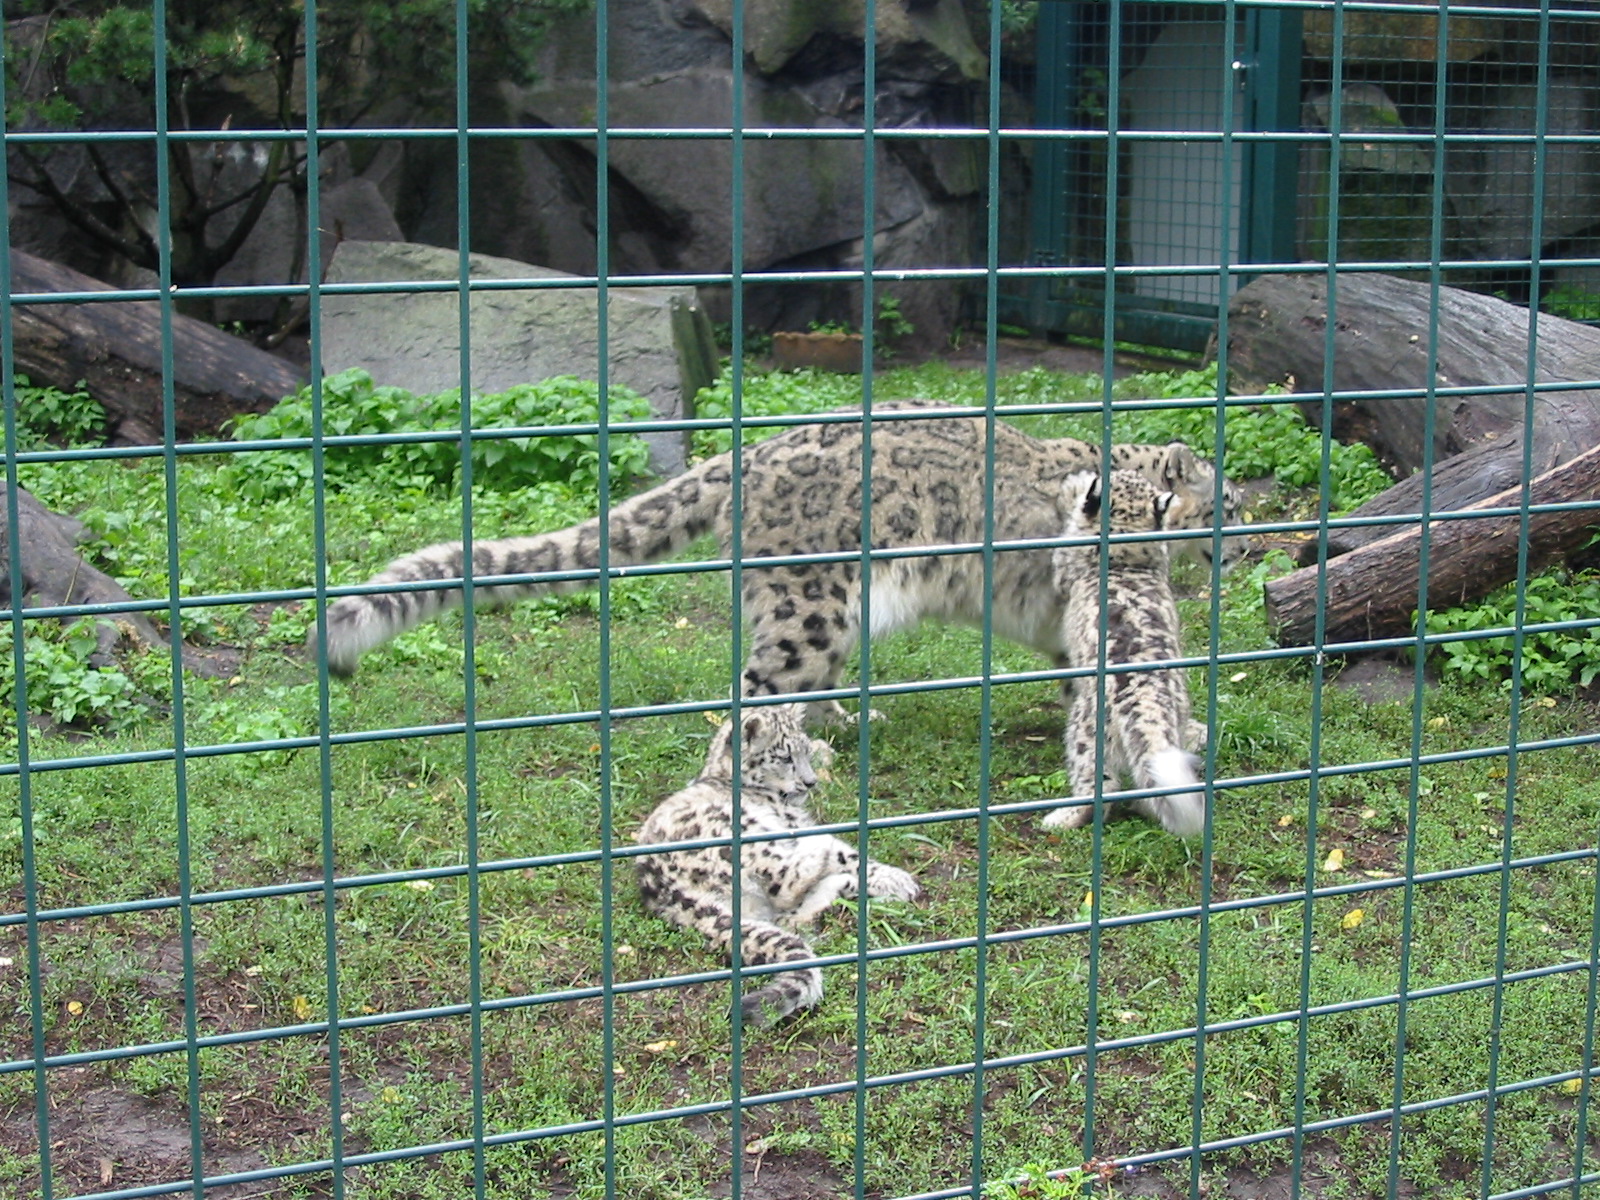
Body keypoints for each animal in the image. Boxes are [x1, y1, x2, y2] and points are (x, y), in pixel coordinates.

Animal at [633, 703, 921, 1028]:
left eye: (806, 751)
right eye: (784, 757)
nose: (810, 782)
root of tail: (659, 886)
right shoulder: (790, 824)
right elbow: (850, 856)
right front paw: (895, 878)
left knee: (789, 917)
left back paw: (839, 884)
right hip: (741, 836)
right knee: (787, 882)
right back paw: (821, 847)